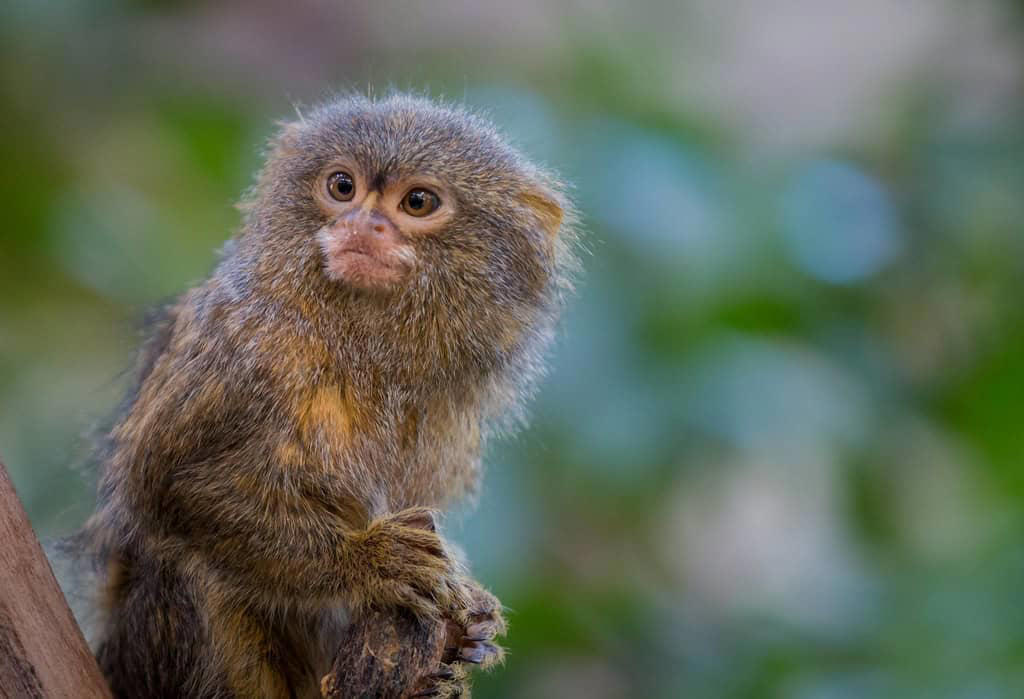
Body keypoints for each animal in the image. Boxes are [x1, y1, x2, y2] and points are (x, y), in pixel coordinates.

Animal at [74, 92, 578, 698]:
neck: (359, 344)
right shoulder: (243, 347)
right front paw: (370, 563)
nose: (364, 223)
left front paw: (470, 626)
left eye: (417, 202)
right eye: (343, 187)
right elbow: (170, 485)